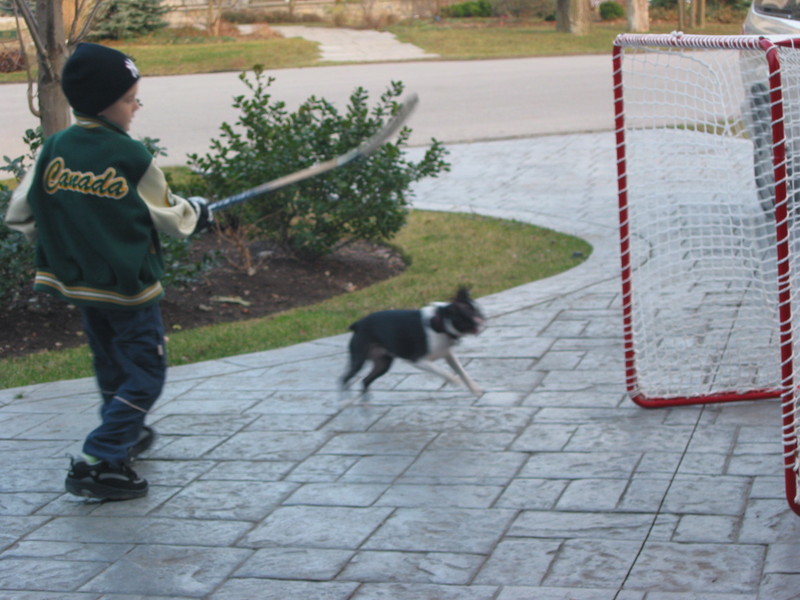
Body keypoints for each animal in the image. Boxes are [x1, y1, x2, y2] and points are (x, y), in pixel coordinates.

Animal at [341, 287, 485, 397]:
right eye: (470, 316)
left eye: (479, 311)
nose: (482, 319)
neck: (440, 323)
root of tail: (358, 324)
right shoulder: (418, 361)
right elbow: (443, 371)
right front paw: (454, 380)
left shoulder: (448, 355)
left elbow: (462, 372)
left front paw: (475, 389)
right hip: (359, 360)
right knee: (345, 378)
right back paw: (345, 398)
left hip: (383, 363)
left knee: (365, 381)